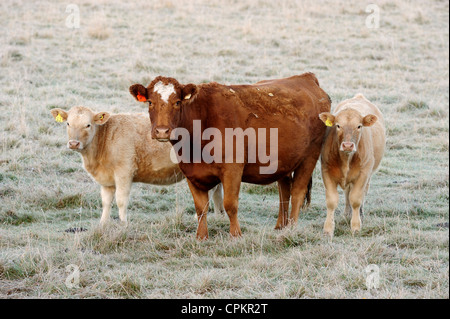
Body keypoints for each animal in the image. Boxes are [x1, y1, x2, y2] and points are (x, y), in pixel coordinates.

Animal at [50, 106, 223, 226]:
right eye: (68, 123)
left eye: (88, 125)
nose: (73, 143)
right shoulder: (107, 179)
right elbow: (106, 201)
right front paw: (103, 224)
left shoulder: (124, 172)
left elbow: (121, 200)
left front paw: (123, 225)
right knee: (217, 191)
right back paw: (218, 216)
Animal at [129, 74, 330, 240]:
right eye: (150, 102)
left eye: (177, 102)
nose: (162, 131)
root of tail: (306, 78)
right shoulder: (191, 173)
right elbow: (201, 208)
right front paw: (201, 237)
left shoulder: (232, 169)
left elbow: (230, 204)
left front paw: (235, 235)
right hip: (284, 161)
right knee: (284, 190)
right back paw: (280, 226)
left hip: (310, 156)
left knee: (297, 192)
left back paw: (292, 228)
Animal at [318, 92, 384, 238]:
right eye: (338, 125)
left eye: (359, 126)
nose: (347, 145)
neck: (346, 159)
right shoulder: (326, 171)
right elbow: (332, 201)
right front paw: (328, 229)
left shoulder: (363, 174)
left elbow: (356, 199)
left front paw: (356, 227)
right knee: (347, 193)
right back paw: (347, 214)